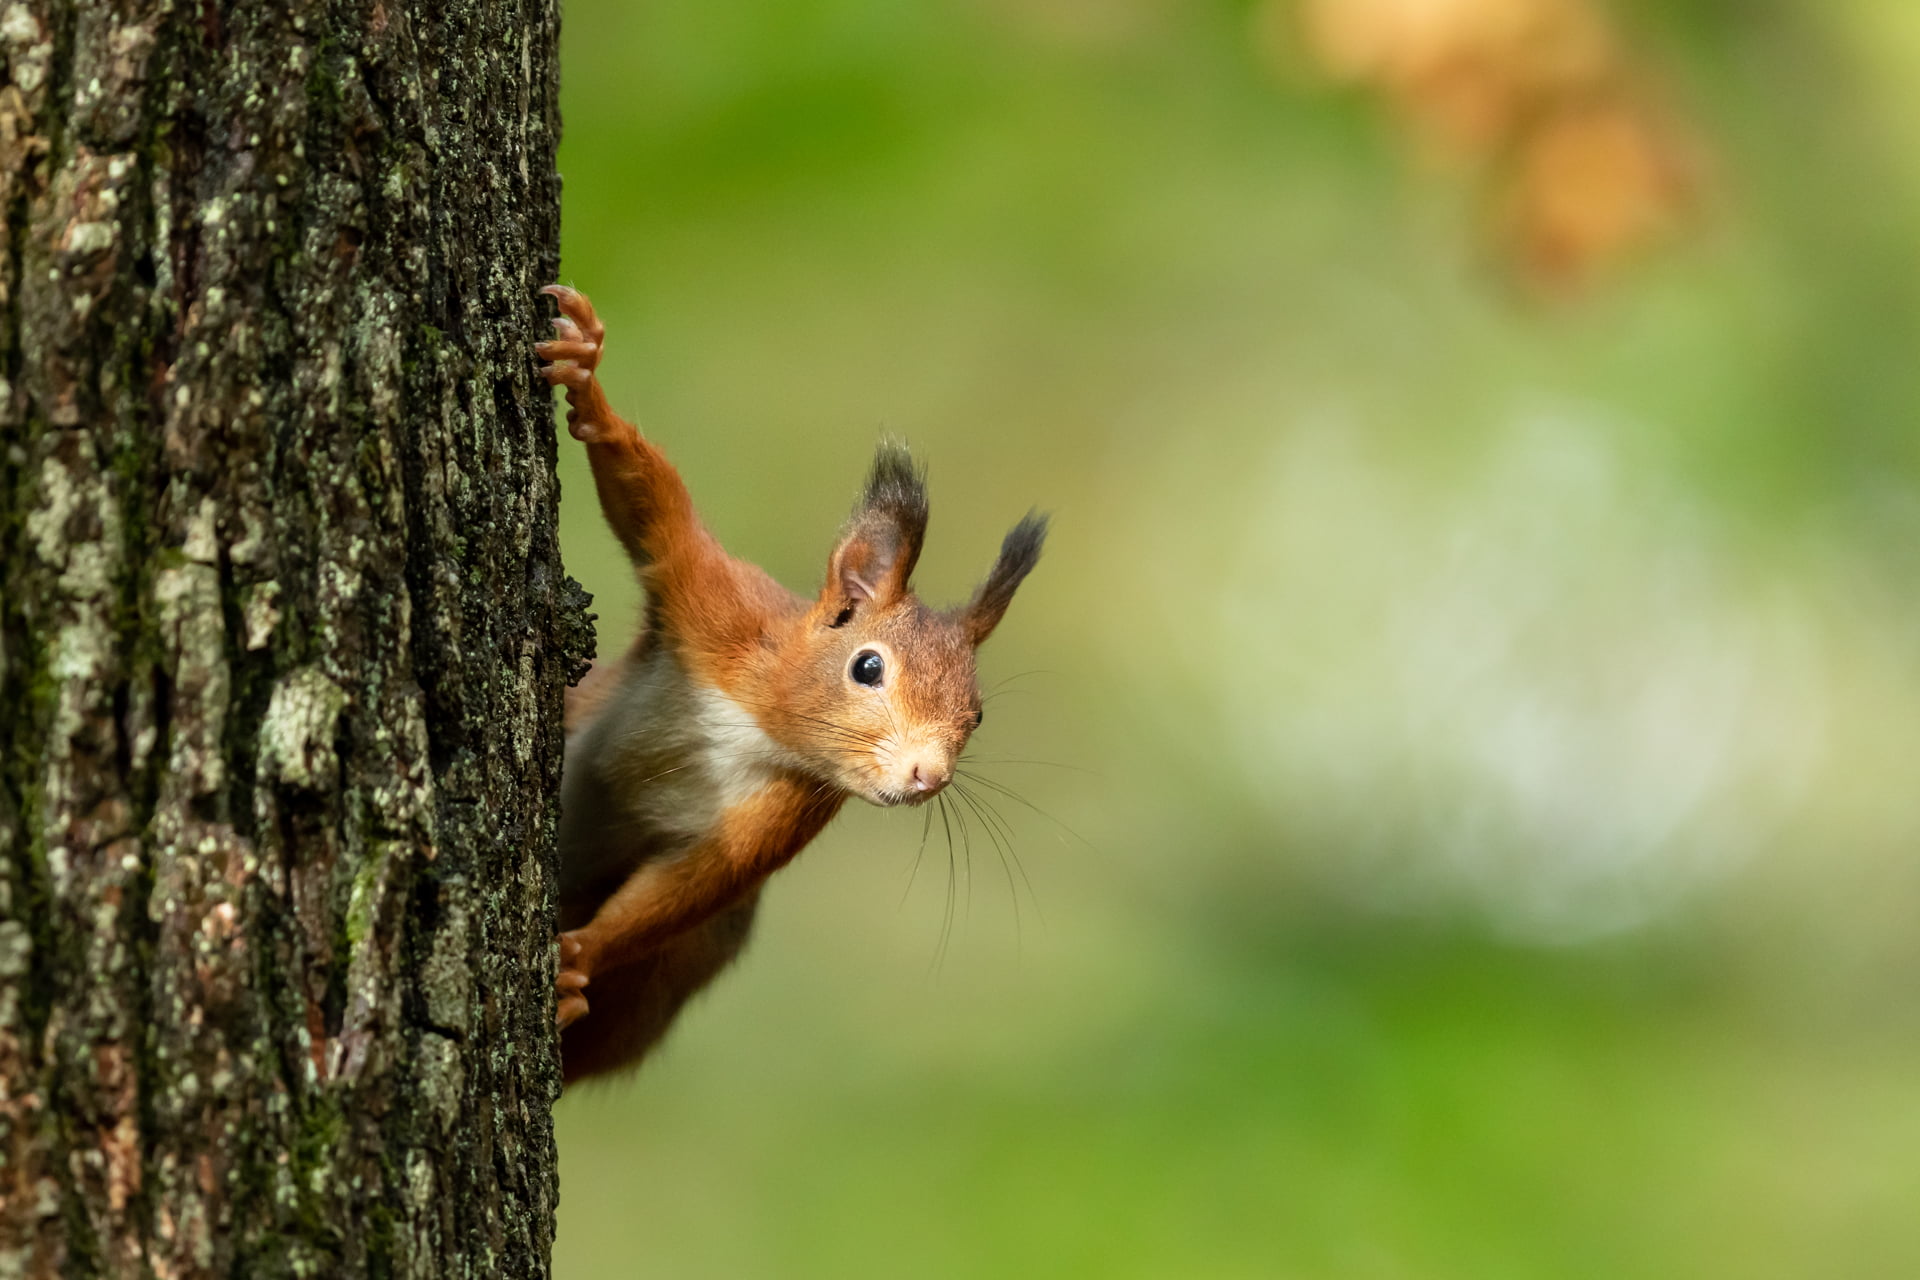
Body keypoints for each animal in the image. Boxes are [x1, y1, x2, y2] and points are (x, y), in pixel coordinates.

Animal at [537, 287, 1052, 1082]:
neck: (758, 718)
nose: (928, 776)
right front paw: (585, 373)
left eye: (977, 717)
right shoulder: (718, 607)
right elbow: (654, 509)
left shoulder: (788, 810)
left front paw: (578, 961)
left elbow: (693, 885)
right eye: (867, 667)